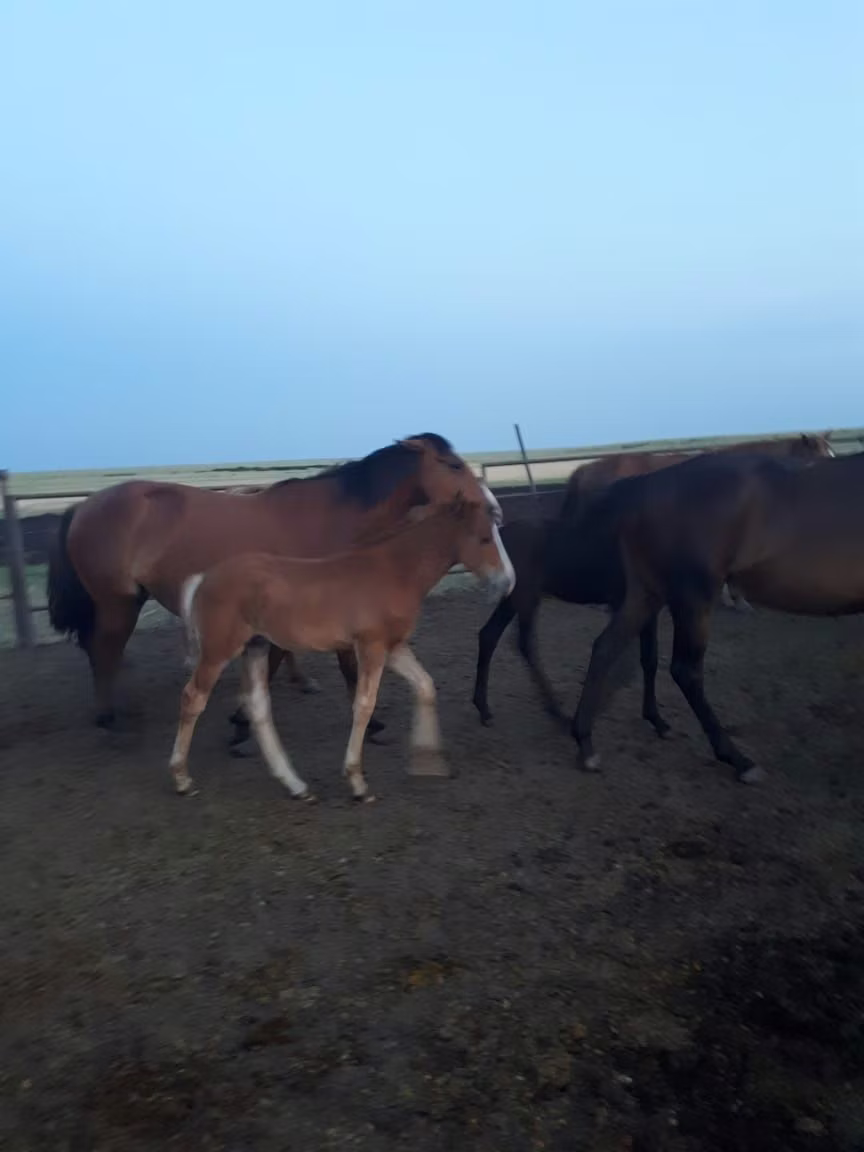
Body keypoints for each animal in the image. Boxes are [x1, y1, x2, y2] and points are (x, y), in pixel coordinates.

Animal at [47, 434, 488, 744]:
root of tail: (83, 506)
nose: (491, 507)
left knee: (101, 651)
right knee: (104, 650)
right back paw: (108, 718)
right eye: (452, 464)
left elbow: (289, 656)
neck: (332, 516)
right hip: (116, 603)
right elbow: (336, 663)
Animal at [170, 492, 515, 801]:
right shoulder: (371, 646)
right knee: (193, 698)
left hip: (255, 648)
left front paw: (428, 762)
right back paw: (182, 778)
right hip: (219, 651)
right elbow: (364, 704)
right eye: (485, 538)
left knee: (258, 707)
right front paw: (357, 781)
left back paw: (296, 786)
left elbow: (425, 686)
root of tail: (203, 578)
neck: (393, 571)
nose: (508, 582)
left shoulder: (393, 647)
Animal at [472, 517, 669, 741]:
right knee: (524, 644)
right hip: (525, 596)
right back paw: (557, 712)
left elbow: (650, 659)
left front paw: (657, 720)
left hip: (512, 599)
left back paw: (485, 710)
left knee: (489, 636)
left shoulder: (649, 609)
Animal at [568, 450, 864, 783]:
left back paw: (588, 742)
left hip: (648, 593)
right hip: (693, 597)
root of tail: (645, 485)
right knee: (686, 672)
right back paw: (739, 761)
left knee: (606, 648)